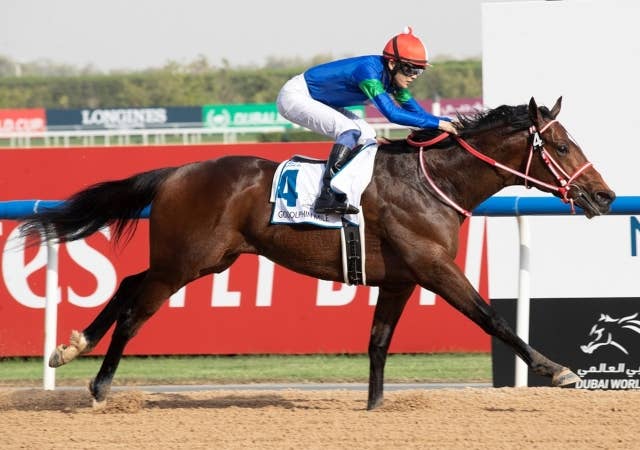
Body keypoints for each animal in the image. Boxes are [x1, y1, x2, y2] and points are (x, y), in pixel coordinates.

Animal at [18, 97, 615, 410]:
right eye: (562, 145)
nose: (606, 195)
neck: (433, 182)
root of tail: (175, 171)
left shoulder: (400, 278)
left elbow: (378, 343)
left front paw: (374, 407)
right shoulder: (434, 268)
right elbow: (494, 319)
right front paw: (558, 371)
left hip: (203, 259)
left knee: (127, 284)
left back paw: (69, 347)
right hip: (185, 263)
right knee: (136, 311)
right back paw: (99, 385)